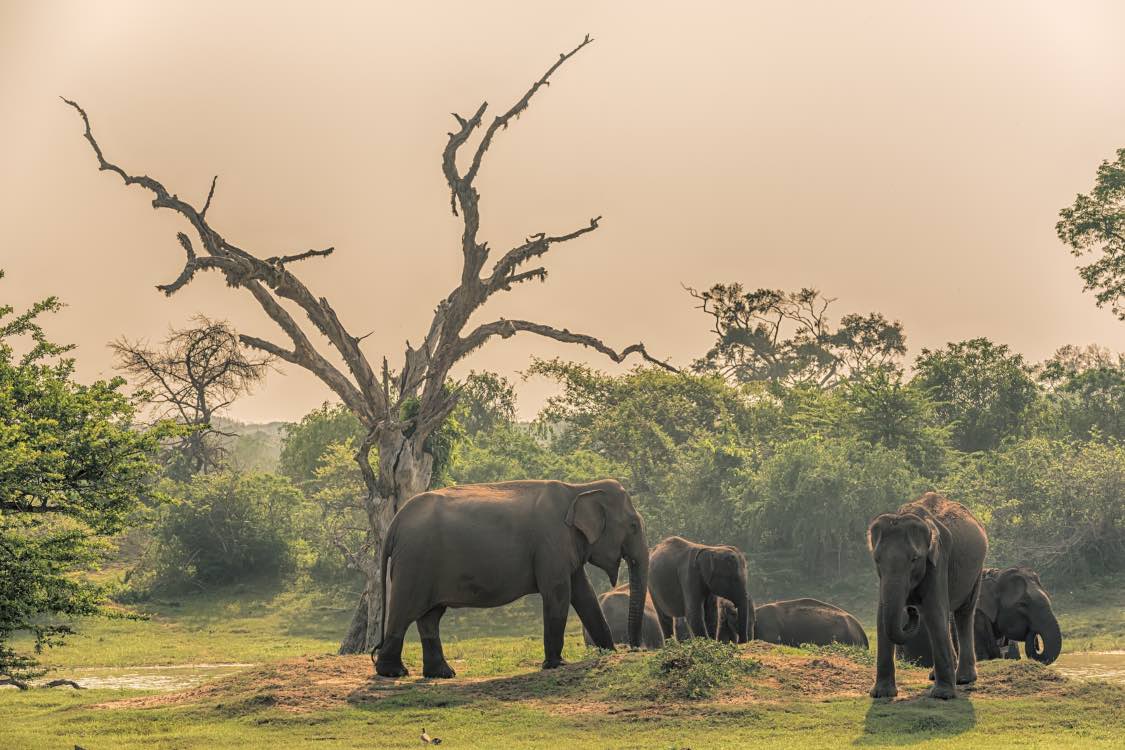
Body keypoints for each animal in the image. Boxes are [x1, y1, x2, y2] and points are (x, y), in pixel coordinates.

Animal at [371, 481, 652, 679]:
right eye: (634, 525)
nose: (635, 648)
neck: (580, 488)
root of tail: (395, 523)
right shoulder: (551, 544)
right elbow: (558, 593)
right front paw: (556, 664)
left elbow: (584, 594)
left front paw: (609, 653)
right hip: (414, 564)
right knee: (405, 610)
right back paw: (393, 672)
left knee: (430, 616)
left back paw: (442, 674)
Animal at [864, 492, 990, 697]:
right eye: (877, 559)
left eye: (915, 559)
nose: (911, 610)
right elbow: (881, 615)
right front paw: (881, 694)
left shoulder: (939, 560)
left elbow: (934, 611)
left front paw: (942, 695)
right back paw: (937, 675)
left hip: (977, 569)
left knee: (963, 613)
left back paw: (963, 679)